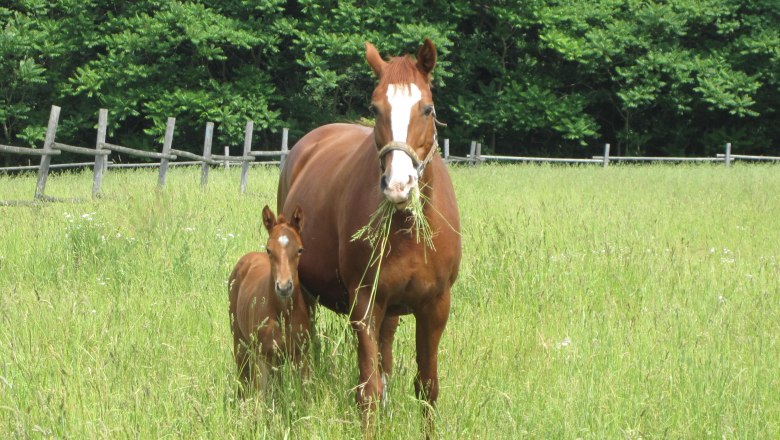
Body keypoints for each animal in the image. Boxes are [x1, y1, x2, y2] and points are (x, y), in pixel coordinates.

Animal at [227, 205, 306, 394]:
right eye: (269, 250)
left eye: (300, 249)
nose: (284, 287)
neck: (283, 313)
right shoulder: (262, 356)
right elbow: (260, 396)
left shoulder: (300, 355)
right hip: (239, 341)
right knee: (243, 377)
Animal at [278, 41, 460, 422]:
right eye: (376, 108)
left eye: (427, 108)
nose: (398, 185)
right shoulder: (364, 302)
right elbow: (369, 391)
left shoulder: (436, 305)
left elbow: (427, 388)